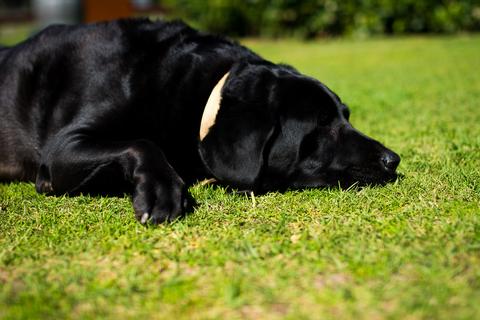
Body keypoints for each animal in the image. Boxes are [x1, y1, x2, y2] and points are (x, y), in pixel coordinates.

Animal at [0, 18, 400, 224]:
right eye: (323, 124)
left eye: (345, 116)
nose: (393, 159)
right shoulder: (62, 150)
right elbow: (142, 142)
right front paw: (162, 192)